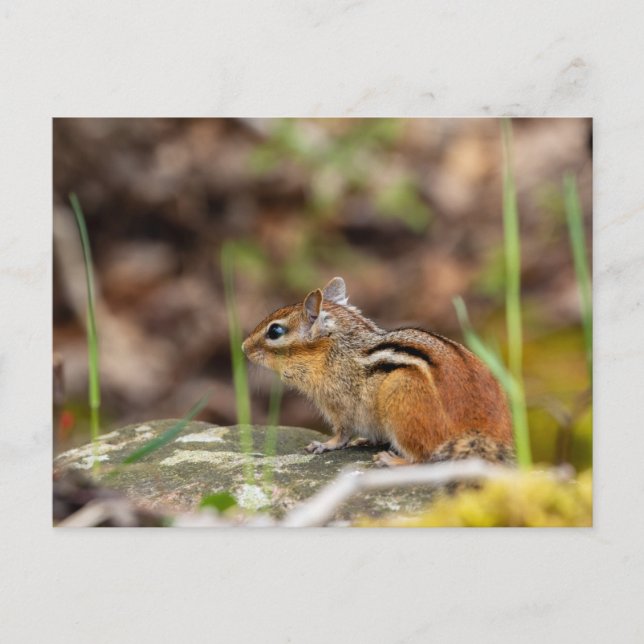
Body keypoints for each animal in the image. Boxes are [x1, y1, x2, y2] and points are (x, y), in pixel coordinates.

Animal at [242, 277, 515, 467]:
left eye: (275, 331)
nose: (243, 347)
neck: (336, 351)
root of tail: (482, 429)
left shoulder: (339, 406)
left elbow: (341, 434)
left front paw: (324, 445)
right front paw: (365, 439)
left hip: (400, 400)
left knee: (422, 458)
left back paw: (392, 460)